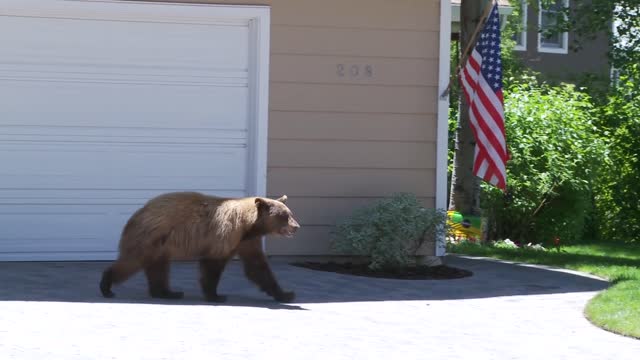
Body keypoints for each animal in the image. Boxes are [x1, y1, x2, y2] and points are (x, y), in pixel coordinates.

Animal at [99, 193, 300, 302]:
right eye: (285, 216)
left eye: (290, 213)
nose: (297, 227)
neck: (248, 226)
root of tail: (137, 213)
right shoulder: (224, 235)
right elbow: (213, 266)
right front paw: (216, 295)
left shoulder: (247, 241)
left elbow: (258, 267)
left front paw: (286, 294)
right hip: (149, 238)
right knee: (132, 260)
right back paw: (106, 286)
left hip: (160, 245)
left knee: (159, 268)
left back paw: (168, 292)